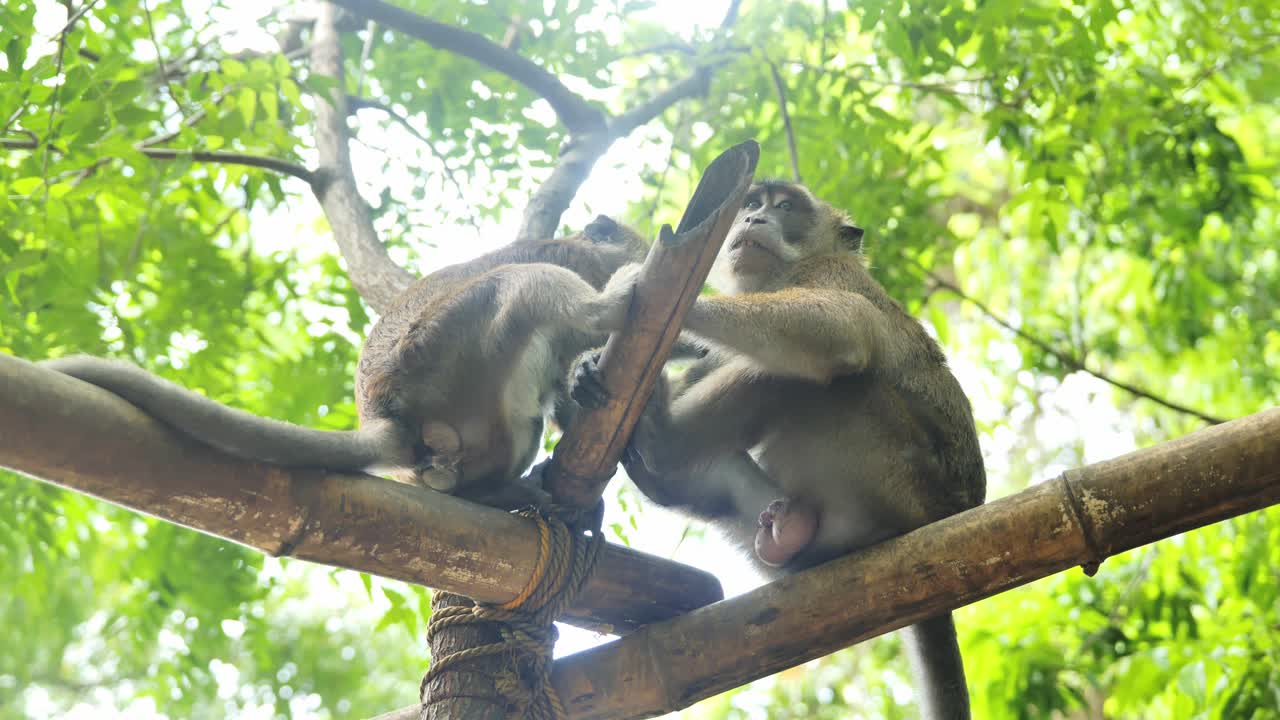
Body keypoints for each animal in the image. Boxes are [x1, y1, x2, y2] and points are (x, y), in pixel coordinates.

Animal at [575, 181, 985, 719]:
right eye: (752, 204)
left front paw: (649, 294)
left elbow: (846, 326)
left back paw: (662, 438)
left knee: (826, 370)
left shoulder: (829, 273)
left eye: (785, 207)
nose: (754, 220)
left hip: (897, 475)